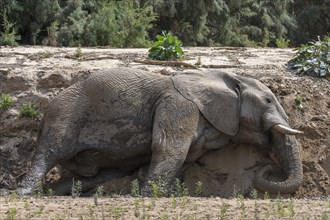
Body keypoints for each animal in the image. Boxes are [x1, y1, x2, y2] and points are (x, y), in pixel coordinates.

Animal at [16, 68, 302, 195]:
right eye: (268, 101)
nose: (268, 167)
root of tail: (44, 111)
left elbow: (181, 159)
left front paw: (163, 192)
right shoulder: (179, 107)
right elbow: (169, 151)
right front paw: (146, 196)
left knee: (97, 175)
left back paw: (55, 192)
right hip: (65, 115)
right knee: (50, 152)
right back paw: (25, 193)